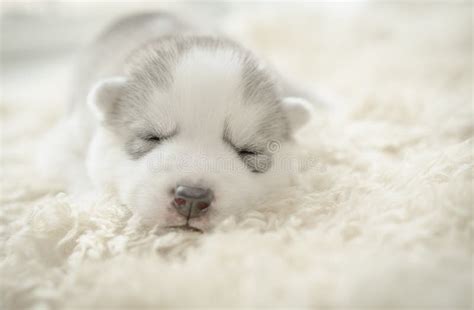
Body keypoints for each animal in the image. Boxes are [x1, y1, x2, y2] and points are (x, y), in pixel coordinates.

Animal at [39, 12, 314, 232]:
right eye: (151, 137)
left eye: (248, 151)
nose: (192, 197)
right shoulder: (67, 138)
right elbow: (75, 168)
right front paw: (97, 202)